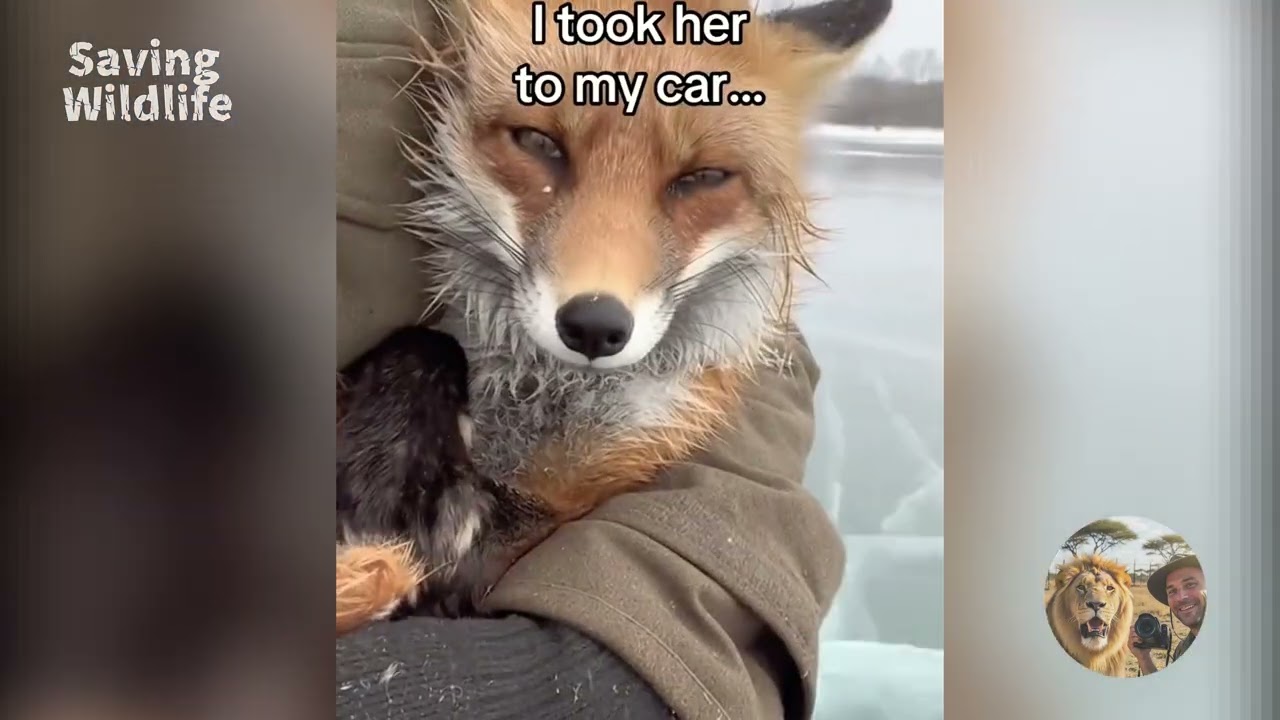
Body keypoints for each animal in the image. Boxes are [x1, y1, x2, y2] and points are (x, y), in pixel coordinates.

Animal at [335, 0, 892, 635]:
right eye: (539, 142)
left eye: (702, 178)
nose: (594, 326)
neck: (539, 398)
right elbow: (427, 344)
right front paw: (399, 465)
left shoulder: (585, 491)